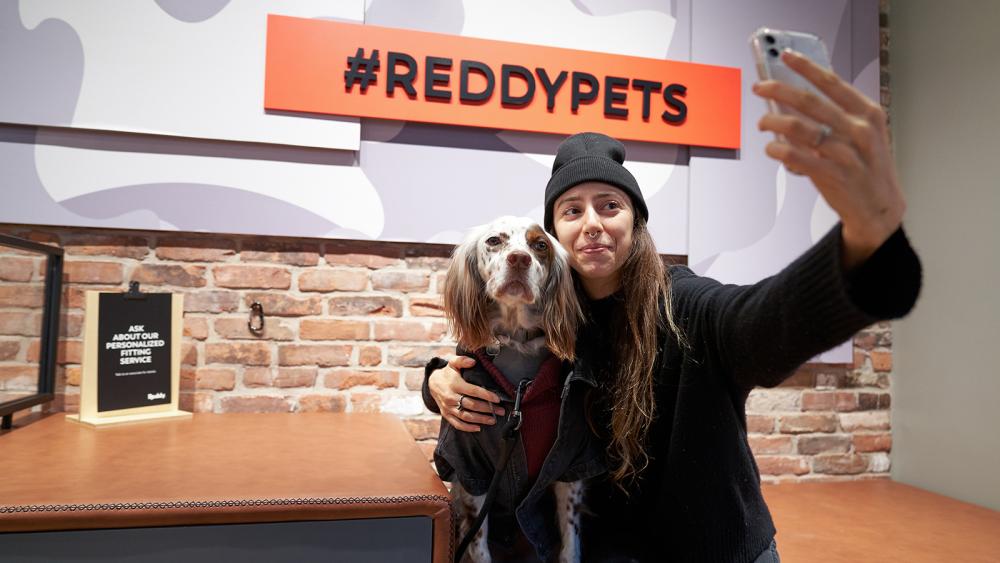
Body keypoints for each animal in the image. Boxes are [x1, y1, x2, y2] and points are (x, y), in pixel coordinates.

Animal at [438, 217, 584, 563]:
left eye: (540, 245)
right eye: (494, 240)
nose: (520, 259)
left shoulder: (567, 467)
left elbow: (569, 542)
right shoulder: (470, 471)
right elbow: (478, 545)